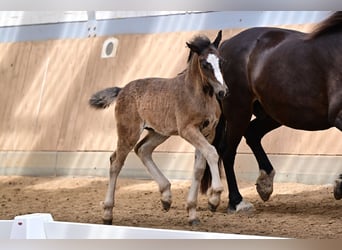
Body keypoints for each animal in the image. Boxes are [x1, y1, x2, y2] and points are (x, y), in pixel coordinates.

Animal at [89, 30, 227, 225]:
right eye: (204, 63)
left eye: (220, 61)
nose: (223, 91)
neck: (199, 95)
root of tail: (122, 89)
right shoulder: (188, 130)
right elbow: (212, 153)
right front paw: (215, 196)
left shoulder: (207, 132)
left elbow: (199, 167)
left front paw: (193, 213)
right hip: (129, 132)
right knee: (116, 162)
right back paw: (107, 213)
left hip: (159, 132)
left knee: (142, 149)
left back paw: (166, 197)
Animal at [200, 11, 342, 211]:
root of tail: (224, 45)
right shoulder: (338, 115)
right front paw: (339, 186)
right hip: (239, 111)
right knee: (228, 151)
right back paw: (237, 202)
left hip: (274, 113)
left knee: (252, 134)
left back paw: (264, 184)